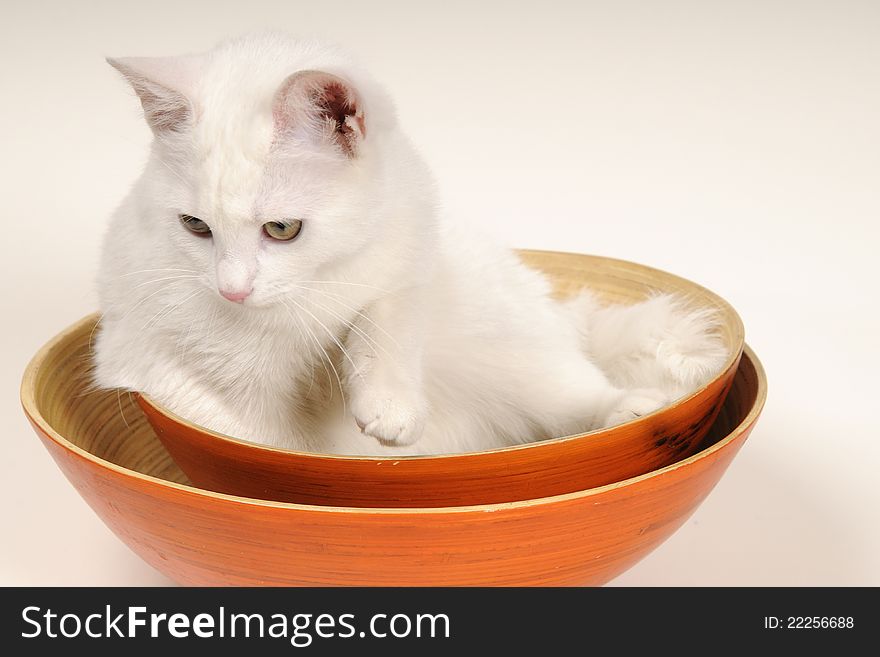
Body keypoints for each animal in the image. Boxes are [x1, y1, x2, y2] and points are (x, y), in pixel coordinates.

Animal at [94, 33, 728, 454]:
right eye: (194, 226)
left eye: (282, 229)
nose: (232, 291)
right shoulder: (160, 356)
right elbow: (250, 431)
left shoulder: (407, 258)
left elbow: (385, 321)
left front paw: (389, 408)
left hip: (505, 342)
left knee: (570, 393)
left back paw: (629, 408)